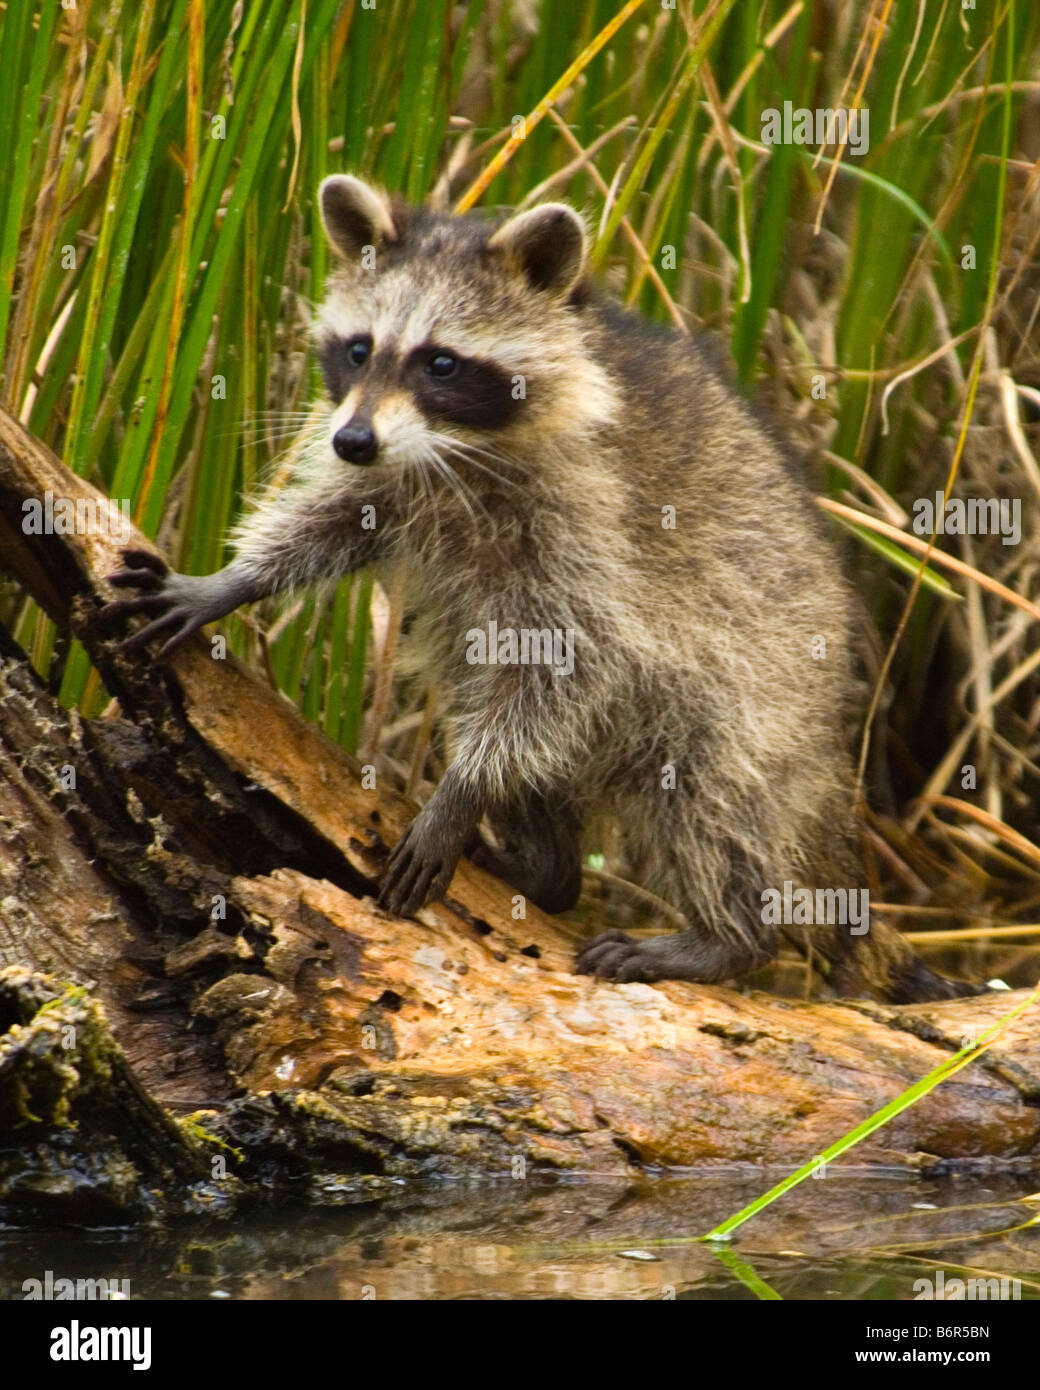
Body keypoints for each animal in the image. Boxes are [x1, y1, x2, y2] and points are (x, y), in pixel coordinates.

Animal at [104, 174, 978, 1003]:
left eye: (441, 363)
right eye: (358, 349)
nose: (351, 439)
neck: (457, 449)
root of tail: (827, 753)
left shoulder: (592, 526)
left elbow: (571, 658)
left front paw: (461, 793)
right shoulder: (394, 475)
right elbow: (335, 521)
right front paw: (229, 580)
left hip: (755, 706)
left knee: (708, 799)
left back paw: (727, 936)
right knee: (488, 691)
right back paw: (549, 867)